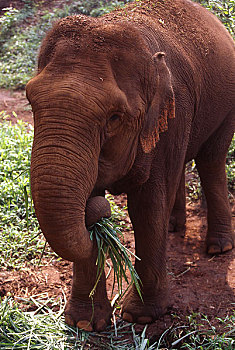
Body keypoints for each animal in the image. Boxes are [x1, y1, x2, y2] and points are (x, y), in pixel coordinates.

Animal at [26, 0, 235, 330]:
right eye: (30, 101)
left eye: (114, 117)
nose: (101, 211)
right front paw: (84, 323)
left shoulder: (174, 111)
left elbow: (147, 208)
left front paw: (141, 316)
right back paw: (174, 226)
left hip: (226, 107)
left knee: (210, 161)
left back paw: (218, 248)